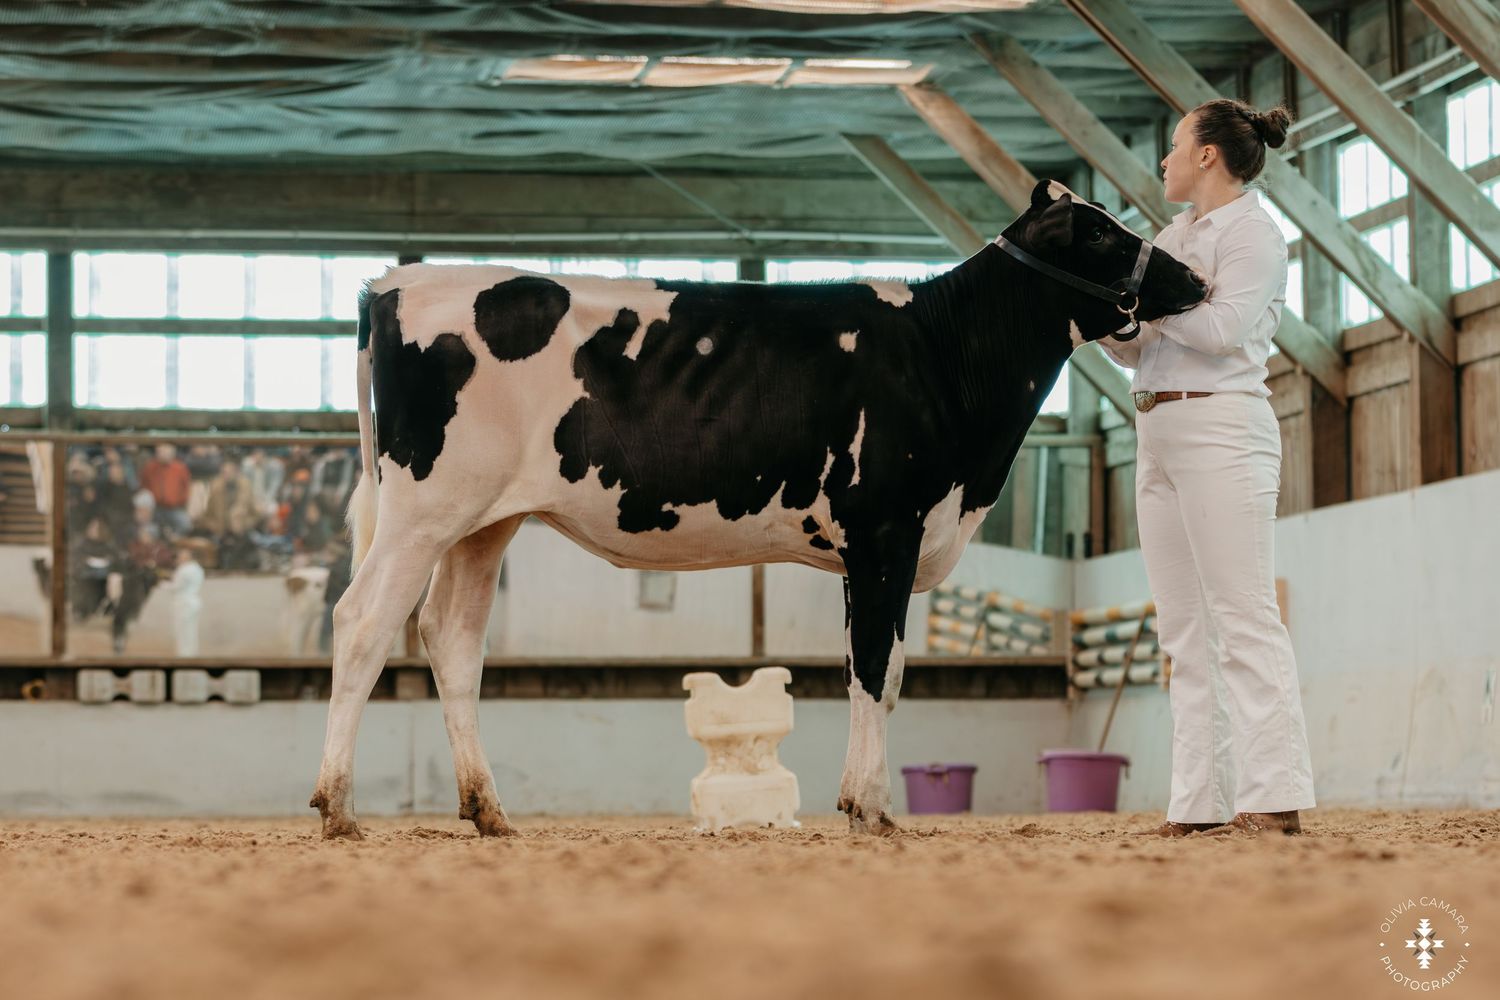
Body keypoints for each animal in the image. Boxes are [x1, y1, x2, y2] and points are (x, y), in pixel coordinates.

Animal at [309, 179, 1207, 839]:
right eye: (1100, 234)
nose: (1196, 279)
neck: (942, 355)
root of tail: (395, 283)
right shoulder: (887, 532)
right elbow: (875, 671)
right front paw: (873, 808)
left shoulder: (869, 549)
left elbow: (878, 673)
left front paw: (857, 801)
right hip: (424, 508)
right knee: (362, 622)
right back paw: (337, 806)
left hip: (482, 520)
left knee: (452, 640)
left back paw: (488, 812)